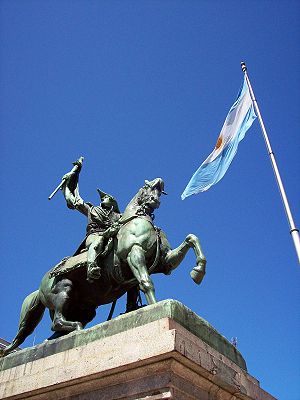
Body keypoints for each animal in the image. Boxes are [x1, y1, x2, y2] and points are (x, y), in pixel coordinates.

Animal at [0, 178, 206, 356]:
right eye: (147, 187)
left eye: (159, 191)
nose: (159, 183)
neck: (134, 220)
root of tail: (40, 286)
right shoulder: (134, 253)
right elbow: (145, 281)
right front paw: (155, 305)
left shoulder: (164, 261)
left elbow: (191, 239)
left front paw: (198, 271)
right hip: (64, 289)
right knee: (57, 321)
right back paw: (75, 327)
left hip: (85, 310)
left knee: (57, 330)